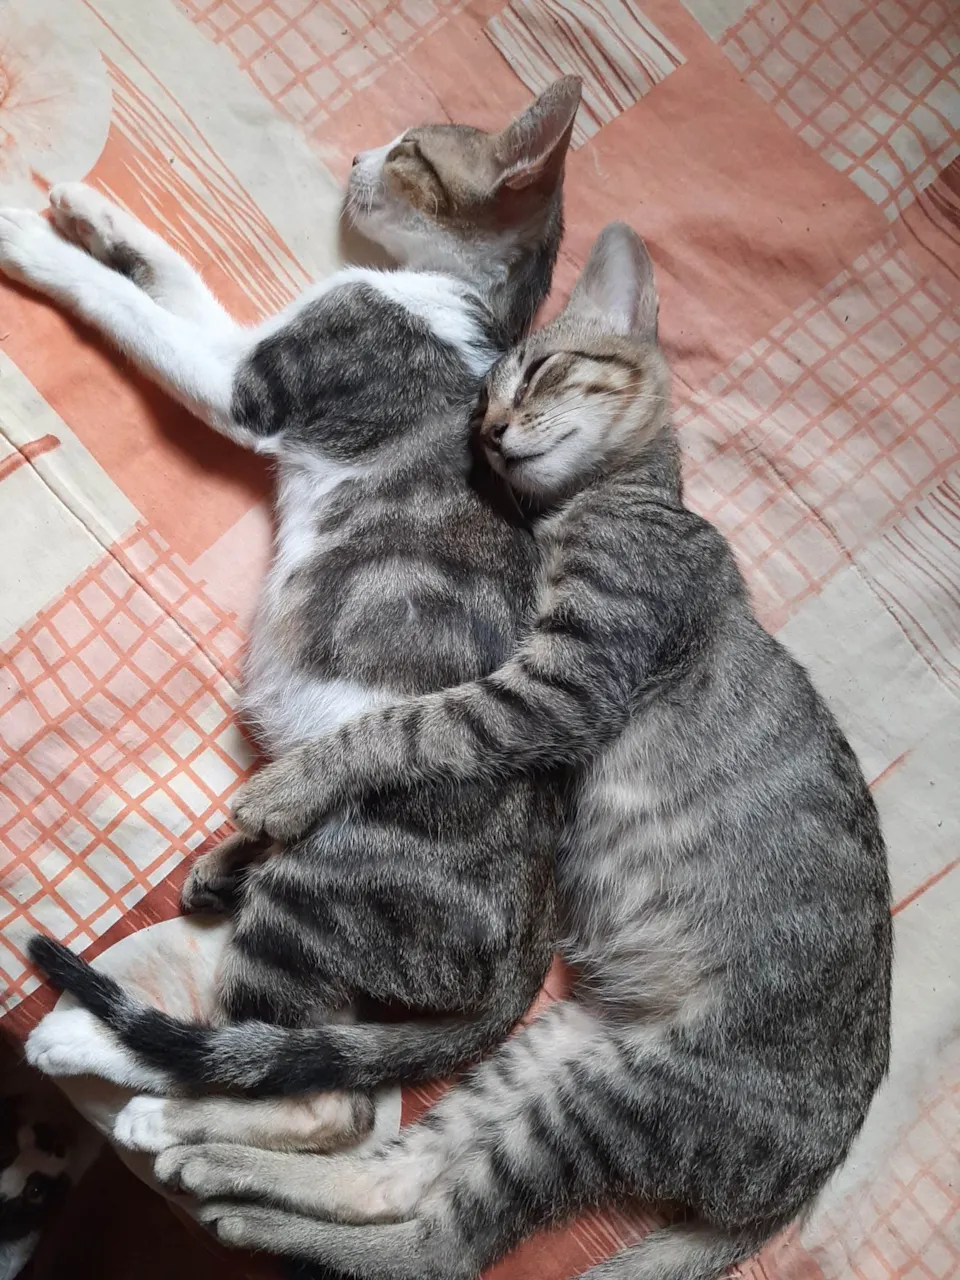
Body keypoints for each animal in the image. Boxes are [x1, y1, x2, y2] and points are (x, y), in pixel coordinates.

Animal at [6, 77, 582, 1152]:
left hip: (315, 897)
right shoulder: (248, 341)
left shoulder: (250, 385)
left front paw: (37, 245)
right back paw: (215, 873)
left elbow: (135, 310)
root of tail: (532, 940)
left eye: (408, 151)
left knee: (303, 1083)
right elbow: (172, 272)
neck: (458, 305)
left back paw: (115, 1079)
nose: (356, 155)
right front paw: (92, 213)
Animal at [117, 225, 889, 1280]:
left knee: (406, 1194)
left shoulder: (568, 680)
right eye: (483, 404)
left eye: (545, 370)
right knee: (393, 1166)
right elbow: (174, 281)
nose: (490, 432)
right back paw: (226, 1178)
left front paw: (38, 239)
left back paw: (166, 1115)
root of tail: (806, 1176)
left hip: (597, 1094)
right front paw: (95, 224)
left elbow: (410, 726)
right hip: (554, 1050)